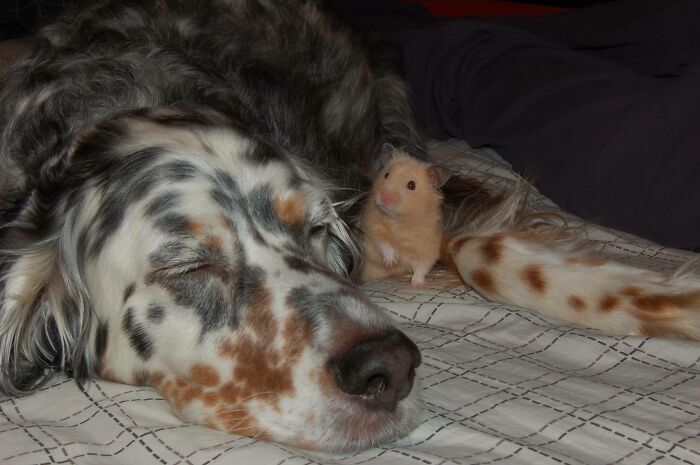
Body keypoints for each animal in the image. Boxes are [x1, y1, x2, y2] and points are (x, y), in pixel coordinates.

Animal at [358, 151, 452, 286]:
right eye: (386, 175)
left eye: (411, 185)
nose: (384, 197)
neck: (400, 220)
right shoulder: (372, 225)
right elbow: (384, 243)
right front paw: (391, 263)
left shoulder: (428, 247)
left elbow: (422, 267)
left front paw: (417, 284)